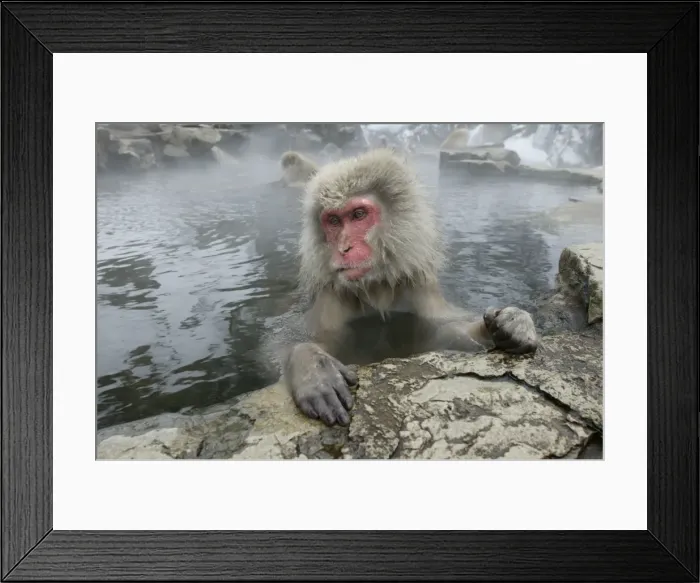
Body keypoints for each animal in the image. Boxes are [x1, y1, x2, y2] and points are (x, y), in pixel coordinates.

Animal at [276, 148, 539, 427]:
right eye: (334, 221)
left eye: (358, 215)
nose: (344, 248)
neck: (376, 286)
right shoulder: (332, 296)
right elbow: (317, 340)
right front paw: (311, 364)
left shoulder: (420, 288)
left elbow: (441, 332)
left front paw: (510, 323)